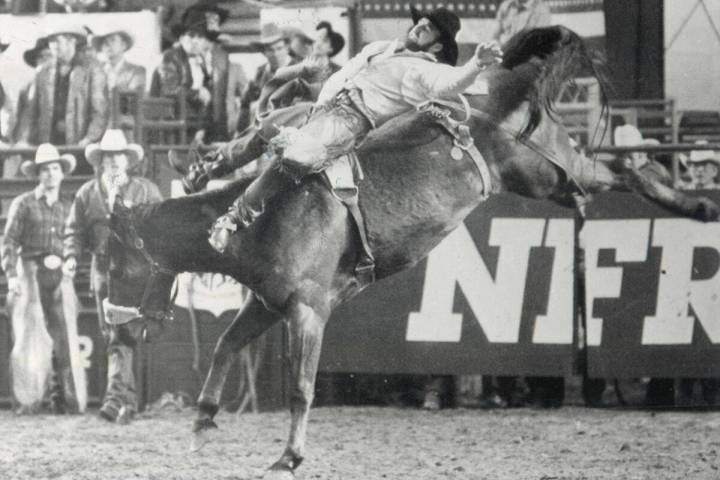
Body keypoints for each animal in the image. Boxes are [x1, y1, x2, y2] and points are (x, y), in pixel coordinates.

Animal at [104, 28, 716, 478]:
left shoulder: (307, 310)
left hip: (547, 169)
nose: (112, 320)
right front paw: (203, 422)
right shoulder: (268, 303)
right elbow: (226, 346)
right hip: (550, 180)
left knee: (624, 168)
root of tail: (504, 82)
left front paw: (289, 456)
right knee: (617, 174)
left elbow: (301, 387)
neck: (267, 215)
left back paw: (694, 203)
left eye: (114, 263)